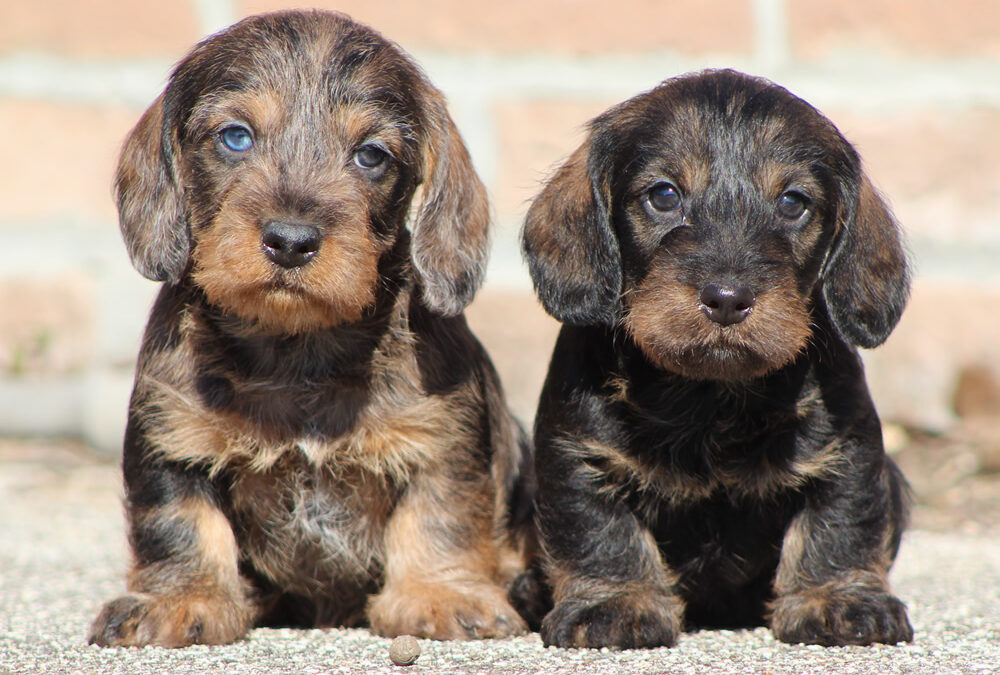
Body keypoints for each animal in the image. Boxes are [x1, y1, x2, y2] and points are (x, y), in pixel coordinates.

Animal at [90, 7, 536, 648]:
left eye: (371, 155)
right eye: (235, 136)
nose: (291, 241)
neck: (297, 346)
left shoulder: (443, 439)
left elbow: (440, 516)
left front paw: (441, 593)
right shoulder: (171, 439)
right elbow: (178, 523)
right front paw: (180, 599)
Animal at [524, 68, 916, 648]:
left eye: (792, 202)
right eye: (664, 195)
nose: (728, 298)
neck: (710, 398)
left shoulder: (850, 450)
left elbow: (839, 525)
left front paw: (838, 599)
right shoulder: (577, 454)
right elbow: (599, 531)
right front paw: (615, 602)